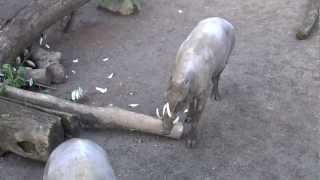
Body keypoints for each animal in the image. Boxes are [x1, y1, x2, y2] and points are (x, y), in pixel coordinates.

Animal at [162, 17, 235, 148]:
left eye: (181, 102)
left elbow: (197, 116)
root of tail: (225, 21)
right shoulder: (190, 92)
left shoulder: (203, 93)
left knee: (216, 78)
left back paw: (216, 96)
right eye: (166, 96)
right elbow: (191, 104)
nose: (164, 131)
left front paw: (191, 142)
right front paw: (188, 117)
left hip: (224, 62)